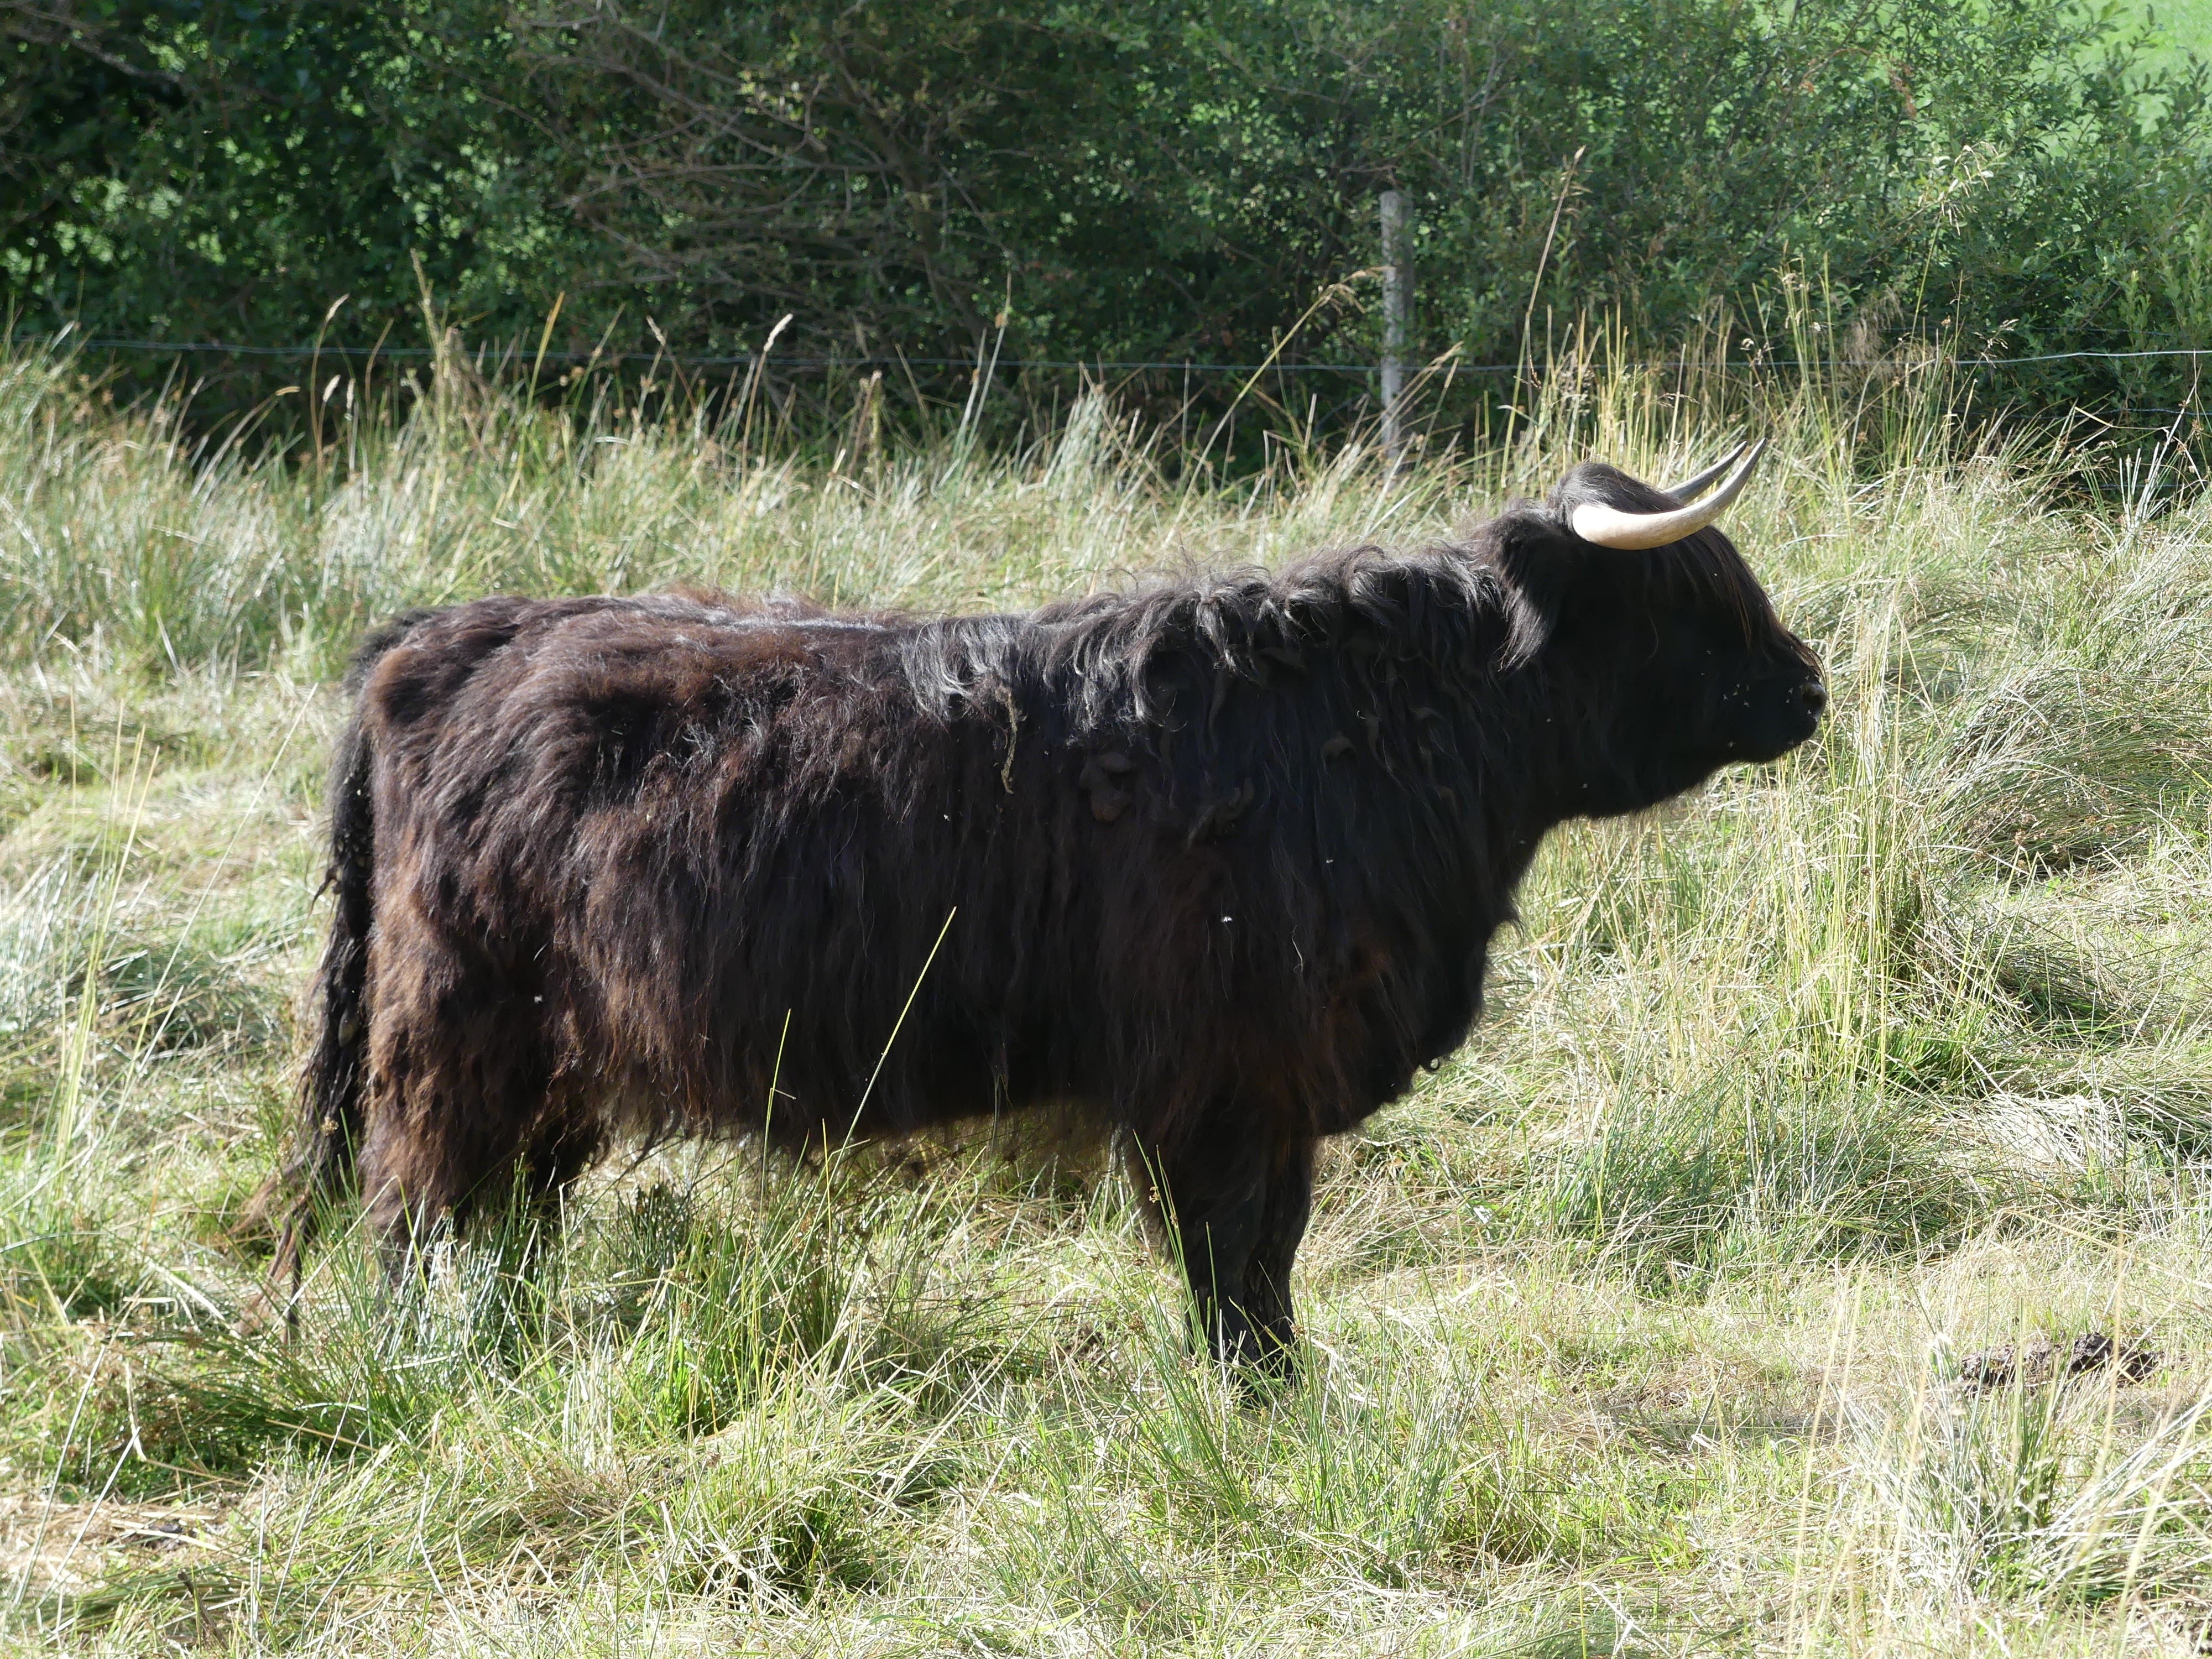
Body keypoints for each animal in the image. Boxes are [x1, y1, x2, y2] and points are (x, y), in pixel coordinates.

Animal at [259, 442, 1823, 1380]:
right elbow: (1245, 1258)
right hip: (450, 1036)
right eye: (1689, 599)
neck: (1373, 739)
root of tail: (449, 631)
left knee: (505, 1215)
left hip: (549, 1057)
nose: (1809, 685)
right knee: (415, 1209)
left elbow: (1249, 1256)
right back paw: (436, 1363)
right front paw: (1267, 1404)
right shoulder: (1237, 1073)